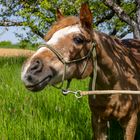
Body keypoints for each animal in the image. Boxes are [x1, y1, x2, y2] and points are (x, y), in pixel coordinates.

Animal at [20, 3, 140, 140]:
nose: (28, 70)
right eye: (49, 37)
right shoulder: (98, 120)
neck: (114, 85)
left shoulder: (130, 121)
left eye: (78, 39)